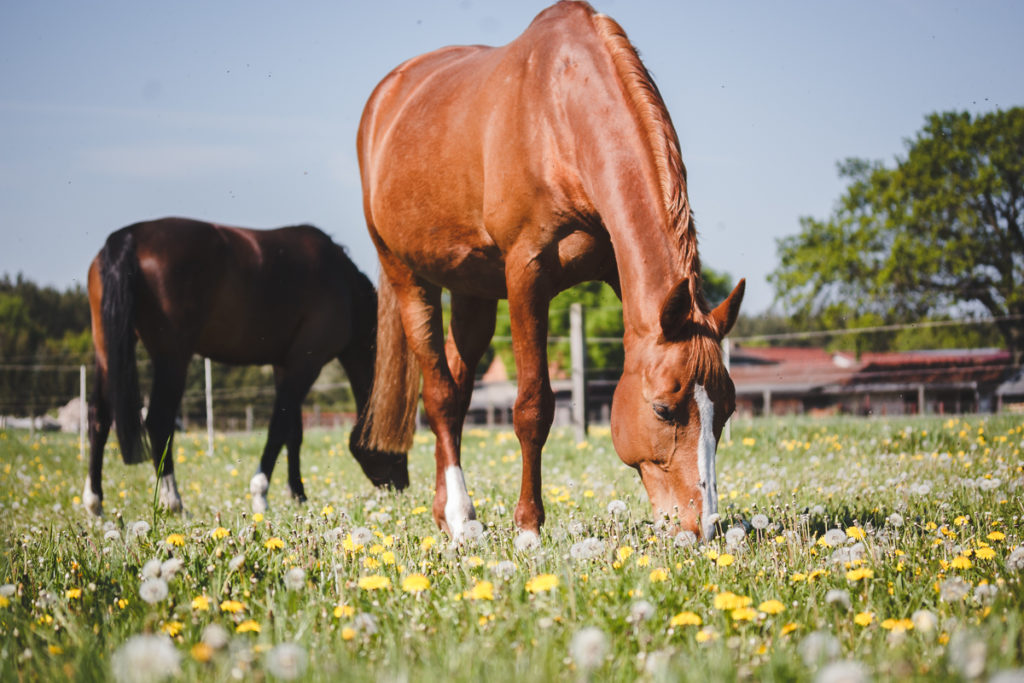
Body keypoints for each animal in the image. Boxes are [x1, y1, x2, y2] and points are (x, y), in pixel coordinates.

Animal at [83, 220, 385, 518]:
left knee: (99, 418)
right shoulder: (306, 363)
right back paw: (175, 504)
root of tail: (127, 237)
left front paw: (298, 495)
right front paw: (261, 494)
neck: (344, 285)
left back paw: (96, 505)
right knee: (158, 420)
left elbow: (293, 433)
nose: (394, 487)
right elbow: (279, 428)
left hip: (107, 351)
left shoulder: (284, 366)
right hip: (172, 358)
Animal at [356, 1, 749, 544]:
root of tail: (386, 96)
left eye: (726, 410)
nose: (702, 527)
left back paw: (446, 512)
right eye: (663, 409)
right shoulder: (527, 273)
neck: (559, 116)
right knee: (439, 394)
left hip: (474, 291)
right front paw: (528, 525)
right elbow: (532, 407)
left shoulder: (613, 269)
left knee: (457, 389)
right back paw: (459, 514)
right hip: (409, 276)